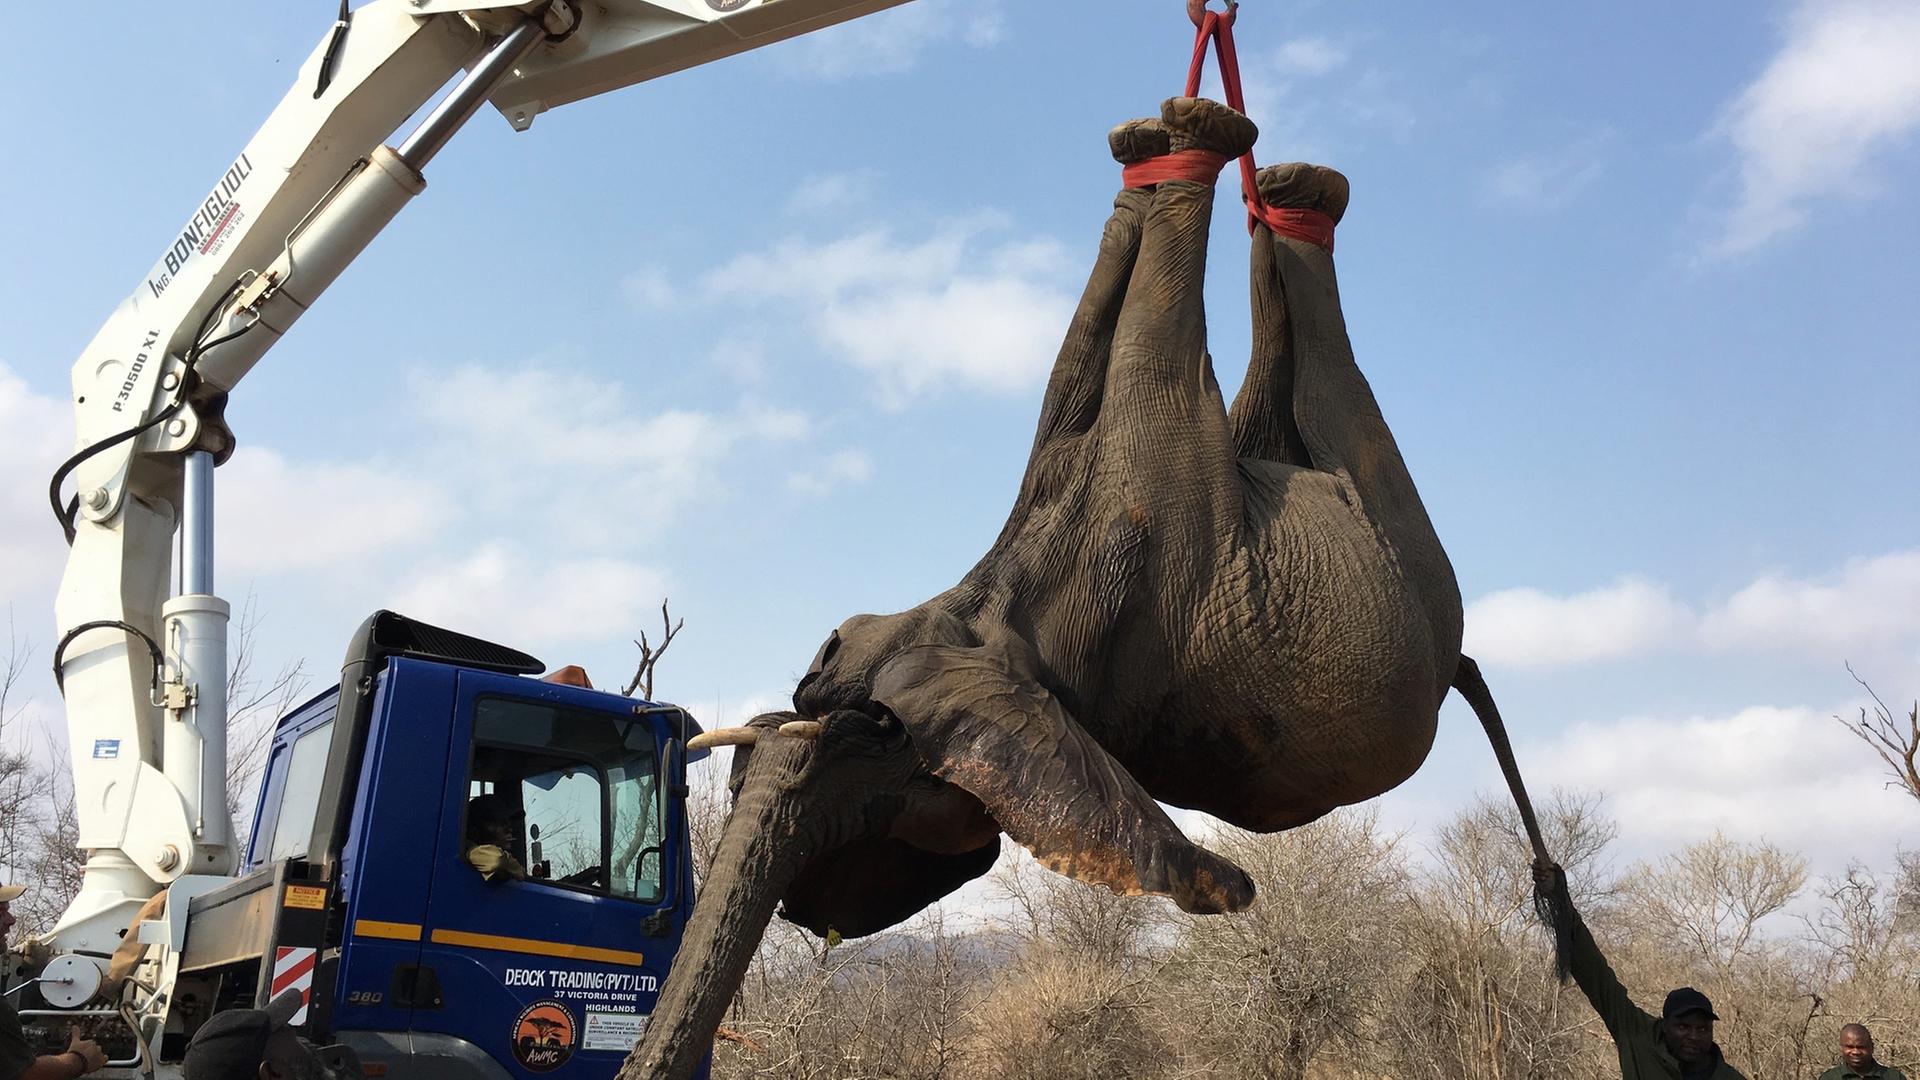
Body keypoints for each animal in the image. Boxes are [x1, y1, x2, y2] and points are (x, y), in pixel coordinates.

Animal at [623, 95, 1497, 1079]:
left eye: (871, 740)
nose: (818, 668)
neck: (987, 612)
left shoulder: (1142, 508)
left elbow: (1118, 361)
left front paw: (1165, 140)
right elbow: (1098, 356)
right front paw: (1149, 153)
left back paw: (1273, 180)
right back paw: (1286, 190)